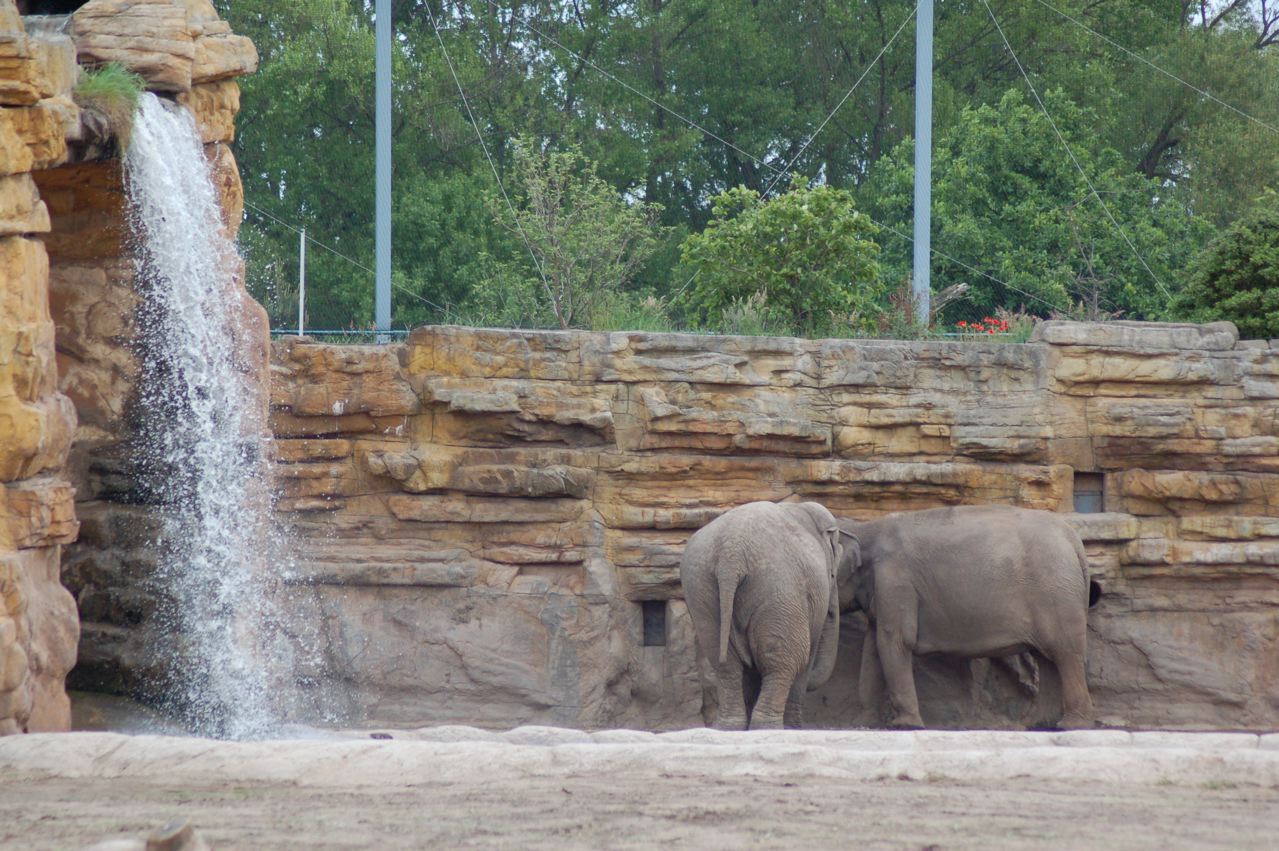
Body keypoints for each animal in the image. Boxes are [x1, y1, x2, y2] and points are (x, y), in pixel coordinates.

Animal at [680, 501, 856, 730]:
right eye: (833, 574)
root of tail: (731, 554)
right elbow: (807, 656)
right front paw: (794, 727)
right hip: (778, 588)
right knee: (783, 658)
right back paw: (768, 726)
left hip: (701, 588)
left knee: (725, 662)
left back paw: (730, 727)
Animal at [835, 505, 1100, 730]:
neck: (866, 529)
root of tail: (1074, 541)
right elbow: (873, 647)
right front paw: (862, 723)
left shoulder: (896, 580)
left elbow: (896, 641)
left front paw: (905, 725)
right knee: (1048, 659)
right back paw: (1042, 725)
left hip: (1057, 594)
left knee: (1065, 653)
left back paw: (1071, 725)